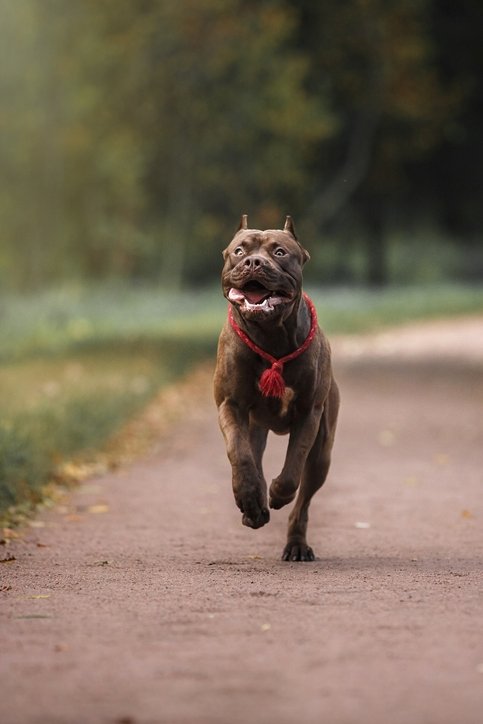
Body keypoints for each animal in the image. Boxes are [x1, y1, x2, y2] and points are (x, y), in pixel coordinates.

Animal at [216, 214, 340, 560]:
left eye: (280, 252)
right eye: (239, 250)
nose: (253, 262)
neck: (270, 334)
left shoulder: (309, 414)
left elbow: (292, 468)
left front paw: (276, 493)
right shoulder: (230, 405)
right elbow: (240, 454)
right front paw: (250, 499)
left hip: (323, 453)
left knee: (304, 499)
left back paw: (296, 544)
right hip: (254, 426)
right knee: (251, 457)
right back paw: (253, 507)